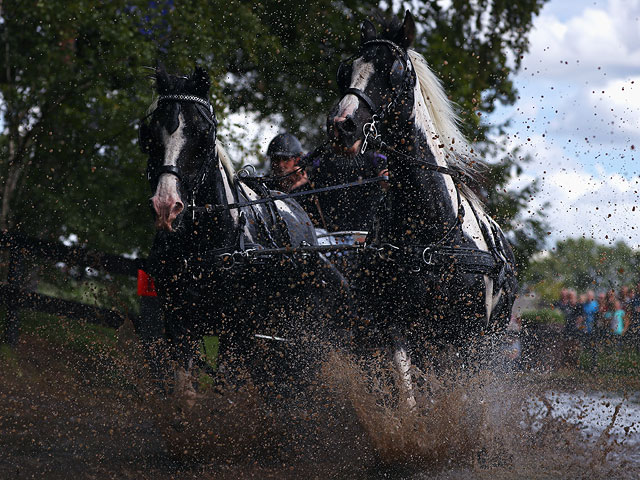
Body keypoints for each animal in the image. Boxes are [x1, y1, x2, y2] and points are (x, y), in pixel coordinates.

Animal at [139, 65, 344, 398]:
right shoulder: (178, 320)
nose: (166, 205)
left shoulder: (238, 330)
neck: (205, 247)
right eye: (151, 134)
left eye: (203, 135)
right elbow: (184, 391)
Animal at [328, 11, 516, 402]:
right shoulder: (394, 328)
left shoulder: (462, 339)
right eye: (345, 70)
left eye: (396, 70)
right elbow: (409, 396)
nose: (342, 125)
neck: (428, 235)